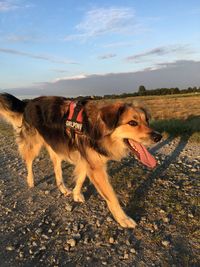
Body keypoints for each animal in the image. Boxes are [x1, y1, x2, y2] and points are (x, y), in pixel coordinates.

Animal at [0, 93, 162, 228]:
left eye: (147, 121)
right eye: (132, 123)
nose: (158, 137)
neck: (97, 126)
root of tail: (28, 103)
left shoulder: (88, 159)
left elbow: (81, 177)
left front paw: (76, 194)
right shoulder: (96, 167)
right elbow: (111, 196)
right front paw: (123, 219)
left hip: (55, 145)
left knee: (57, 167)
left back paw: (63, 188)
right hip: (34, 144)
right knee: (28, 161)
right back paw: (30, 180)